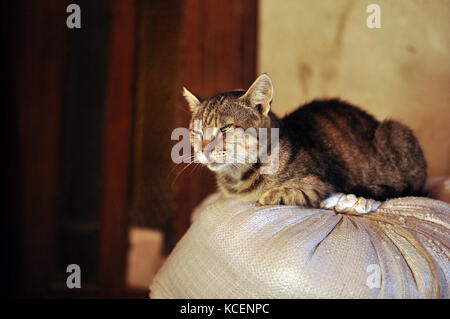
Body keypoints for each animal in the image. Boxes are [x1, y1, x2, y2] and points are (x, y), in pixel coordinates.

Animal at [182, 74, 426, 211]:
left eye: (225, 128)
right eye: (197, 131)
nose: (203, 149)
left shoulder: (317, 182)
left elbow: (283, 192)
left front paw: (268, 195)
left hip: (396, 132)